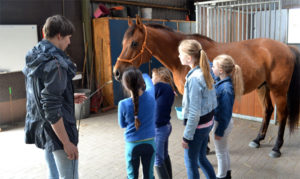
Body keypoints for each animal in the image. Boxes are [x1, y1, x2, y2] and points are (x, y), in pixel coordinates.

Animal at [113, 16, 300, 157]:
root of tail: (287, 47)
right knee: (268, 110)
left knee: (282, 114)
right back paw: (257, 140)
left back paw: (276, 148)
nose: (116, 72)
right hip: (263, 87)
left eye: (134, 43)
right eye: (123, 43)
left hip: (278, 90)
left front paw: (203, 148)